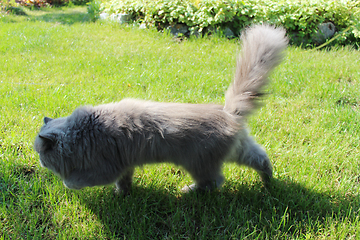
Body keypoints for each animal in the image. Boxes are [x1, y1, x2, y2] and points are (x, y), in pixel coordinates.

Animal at [33, 24, 286, 193]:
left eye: (41, 153)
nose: (40, 162)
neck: (84, 131)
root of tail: (228, 113)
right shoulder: (124, 165)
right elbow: (124, 182)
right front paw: (122, 194)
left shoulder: (105, 168)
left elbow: (77, 181)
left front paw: (67, 184)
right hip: (240, 150)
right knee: (262, 159)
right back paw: (268, 182)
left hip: (199, 164)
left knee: (213, 183)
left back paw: (188, 191)